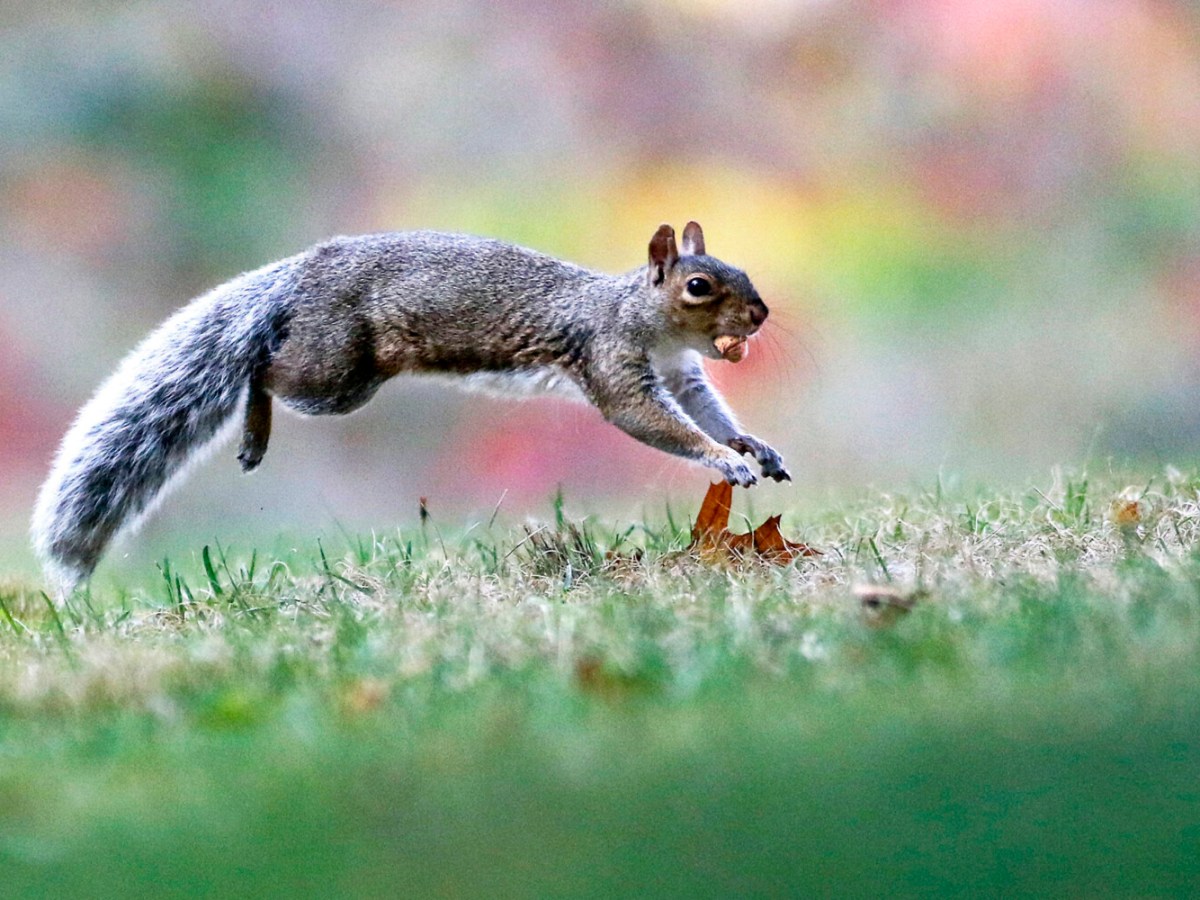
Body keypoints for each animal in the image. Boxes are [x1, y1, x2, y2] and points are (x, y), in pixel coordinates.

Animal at [32, 221, 790, 591]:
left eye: (741, 271)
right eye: (698, 285)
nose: (760, 313)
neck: (640, 316)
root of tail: (303, 271)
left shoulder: (683, 374)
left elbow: (707, 409)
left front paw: (751, 446)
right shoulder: (611, 360)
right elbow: (647, 419)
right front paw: (722, 460)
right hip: (333, 370)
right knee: (262, 366)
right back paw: (253, 429)